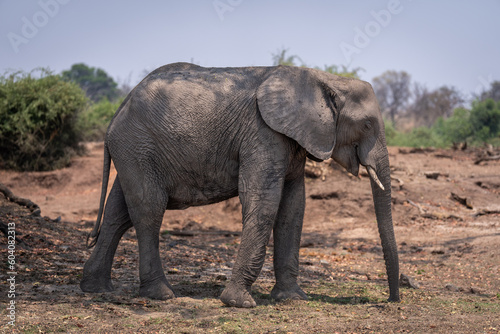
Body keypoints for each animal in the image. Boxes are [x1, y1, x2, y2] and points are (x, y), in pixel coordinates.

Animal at [80, 61, 400, 306]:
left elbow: (293, 208)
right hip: (138, 146)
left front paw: (293, 299)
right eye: (367, 125)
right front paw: (239, 302)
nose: (392, 300)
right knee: (149, 210)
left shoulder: (292, 140)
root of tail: (119, 109)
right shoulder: (263, 133)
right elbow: (264, 201)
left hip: (133, 150)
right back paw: (161, 295)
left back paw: (95, 288)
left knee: (118, 214)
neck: (322, 78)